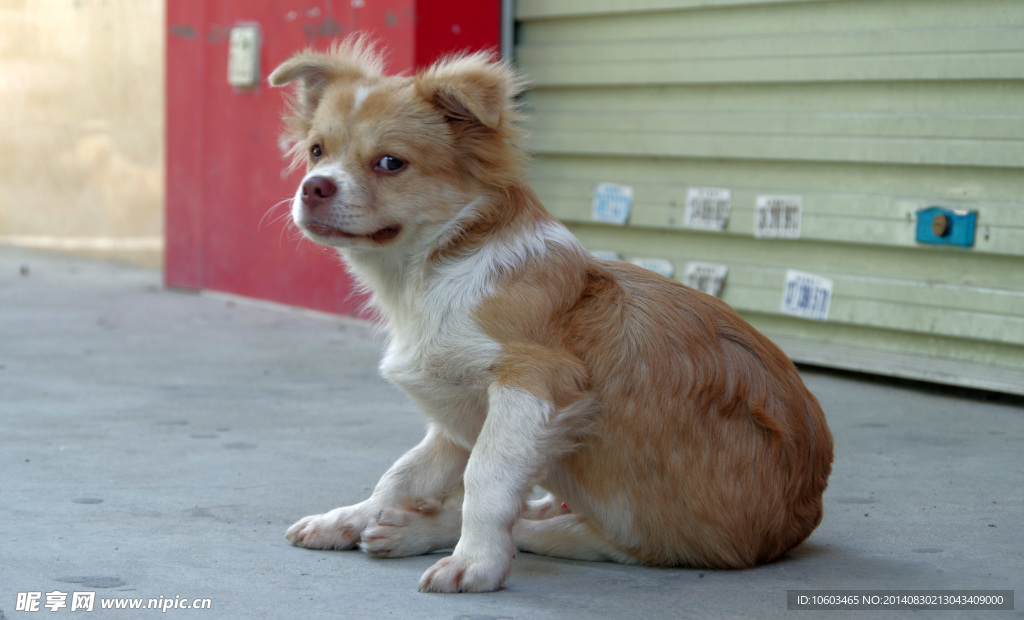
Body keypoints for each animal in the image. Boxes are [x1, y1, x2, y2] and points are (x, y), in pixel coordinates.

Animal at [270, 35, 831, 594]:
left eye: (390, 163)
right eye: (317, 151)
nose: (313, 186)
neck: (432, 271)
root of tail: (799, 521)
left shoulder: (534, 384)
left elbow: (486, 478)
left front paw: (475, 562)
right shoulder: (460, 412)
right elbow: (404, 473)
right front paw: (351, 517)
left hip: (645, 523)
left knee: (552, 531)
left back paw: (426, 533)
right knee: (535, 511)